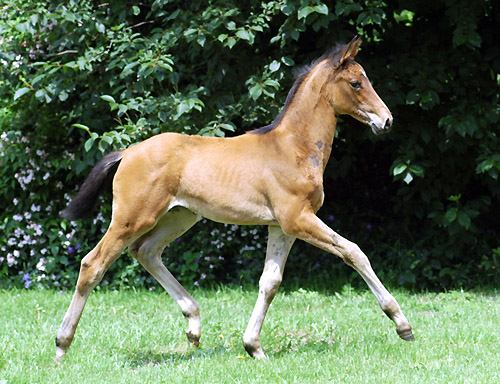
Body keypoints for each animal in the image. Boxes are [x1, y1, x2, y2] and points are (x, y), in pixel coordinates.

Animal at [54, 36, 414, 364]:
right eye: (356, 83)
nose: (387, 120)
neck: (293, 148)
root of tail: (128, 152)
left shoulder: (282, 226)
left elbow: (270, 282)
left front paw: (253, 347)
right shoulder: (298, 218)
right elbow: (354, 252)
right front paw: (402, 324)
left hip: (180, 216)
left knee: (146, 251)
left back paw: (193, 326)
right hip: (133, 217)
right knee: (93, 264)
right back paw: (61, 346)